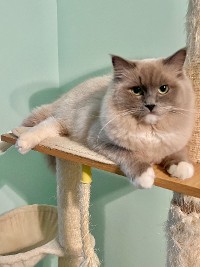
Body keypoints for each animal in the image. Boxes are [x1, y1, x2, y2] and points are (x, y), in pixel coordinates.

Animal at [12, 49, 195, 189]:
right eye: (137, 91)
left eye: (163, 89)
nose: (150, 105)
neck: (149, 130)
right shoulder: (101, 141)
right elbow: (131, 155)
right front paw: (145, 177)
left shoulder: (174, 141)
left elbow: (179, 155)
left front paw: (182, 169)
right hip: (66, 119)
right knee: (45, 124)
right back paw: (22, 143)